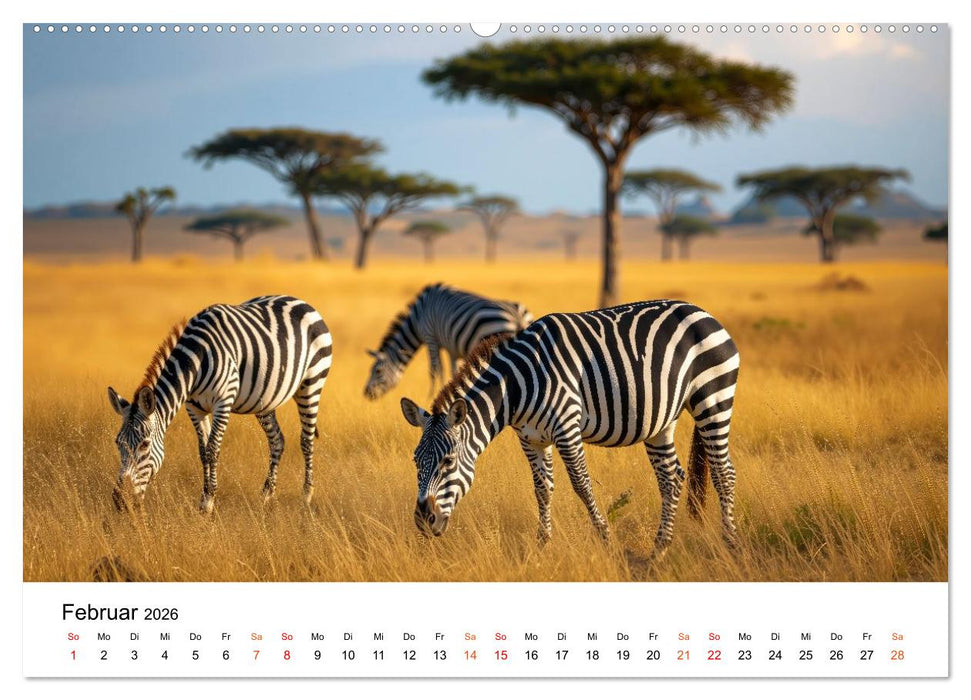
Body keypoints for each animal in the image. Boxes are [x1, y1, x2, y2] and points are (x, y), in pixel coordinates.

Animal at [107, 295, 332, 513]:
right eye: (117, 443)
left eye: (145, 444)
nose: (120, 501)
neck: (196, 360)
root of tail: (300, 301)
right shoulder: (194, 408)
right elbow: (202, 451)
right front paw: (204, 499)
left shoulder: (223, 402)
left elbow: (212, 449)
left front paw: (208, 501)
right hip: (265, 399)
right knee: (277, 440)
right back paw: (266, 496)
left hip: (312, 384)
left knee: (306, 440)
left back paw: (306, 495)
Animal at [364, 282, 533, 400]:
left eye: (377, 371)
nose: (366, 393)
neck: (417, 318)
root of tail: (517, 315)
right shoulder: (453, 348)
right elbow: (454, 371)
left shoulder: (430, 337)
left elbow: (435, 369)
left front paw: (431, 396)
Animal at [400, 300, 740, 559]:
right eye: (416, 462)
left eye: (448, 462)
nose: (423, 521)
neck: (516, 389)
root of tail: (702, 312)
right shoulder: (531, 438)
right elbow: (542, 489)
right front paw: (541, 546)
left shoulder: (567, 428)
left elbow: (581, 485)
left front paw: (606, 540)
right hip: (661, 422)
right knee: (672, 478)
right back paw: (659, 549)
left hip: (713, 399)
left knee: (723, 472)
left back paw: (731, 543)